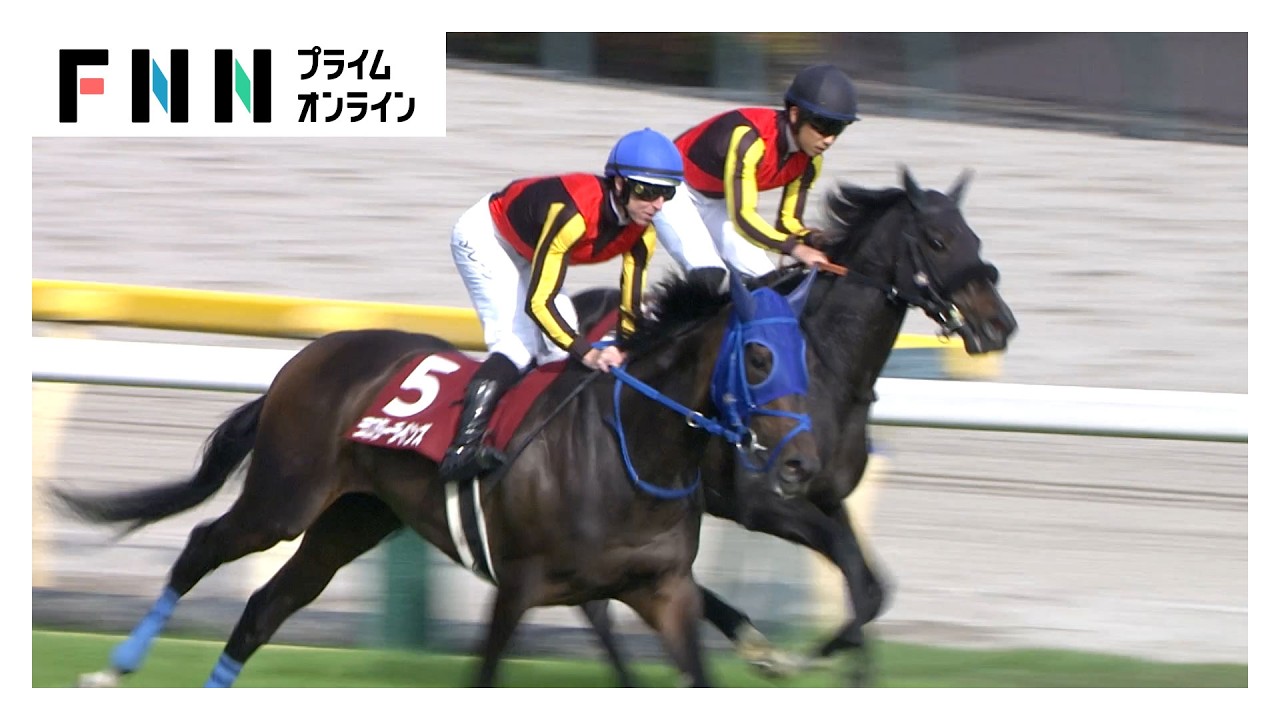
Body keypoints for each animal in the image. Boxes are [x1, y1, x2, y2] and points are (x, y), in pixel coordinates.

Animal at [52, 269, 822, 688]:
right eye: (757, 357)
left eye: (806, 358)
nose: (800, 466)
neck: (632, 453)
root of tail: (309, 355)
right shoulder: (520, 586)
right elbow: (486, 671)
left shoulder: (661, 591)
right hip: (284, 499)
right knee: (203, 545)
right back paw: (114, 666)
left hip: (351, 521)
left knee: (265, 608)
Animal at [571, 167, 1019, 684]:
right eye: (938, 241)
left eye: (975, 239)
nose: (1000, 325)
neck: (824, 366)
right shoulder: (762, 503)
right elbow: (853, 578)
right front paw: (802, 658)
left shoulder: (827, 496)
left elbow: (869, 589)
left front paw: (835, 661)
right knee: (600, 594)